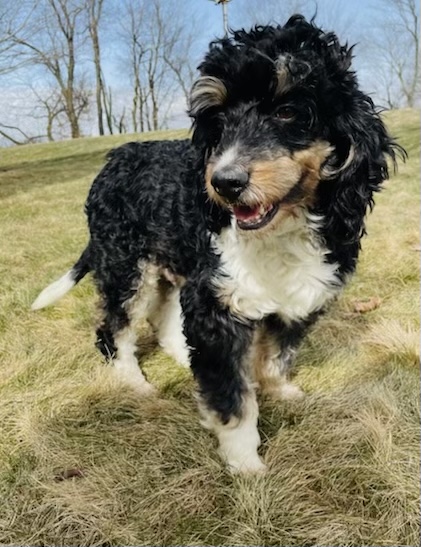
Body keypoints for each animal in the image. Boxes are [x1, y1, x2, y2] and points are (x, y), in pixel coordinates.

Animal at [32, 15, 400, 473]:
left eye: (287, 110)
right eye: (219, 119)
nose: (225, 182)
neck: (278, 231)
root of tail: (115, 159)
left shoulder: (298, 299)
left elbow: (276, 357)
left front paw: (281, 392)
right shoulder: (217, 307)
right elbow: (233, 398)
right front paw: (245, 463)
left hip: (171, 265)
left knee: (163, 316)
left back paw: (180, 357)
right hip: (126, 266)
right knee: (113, 330)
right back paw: (134, 383)